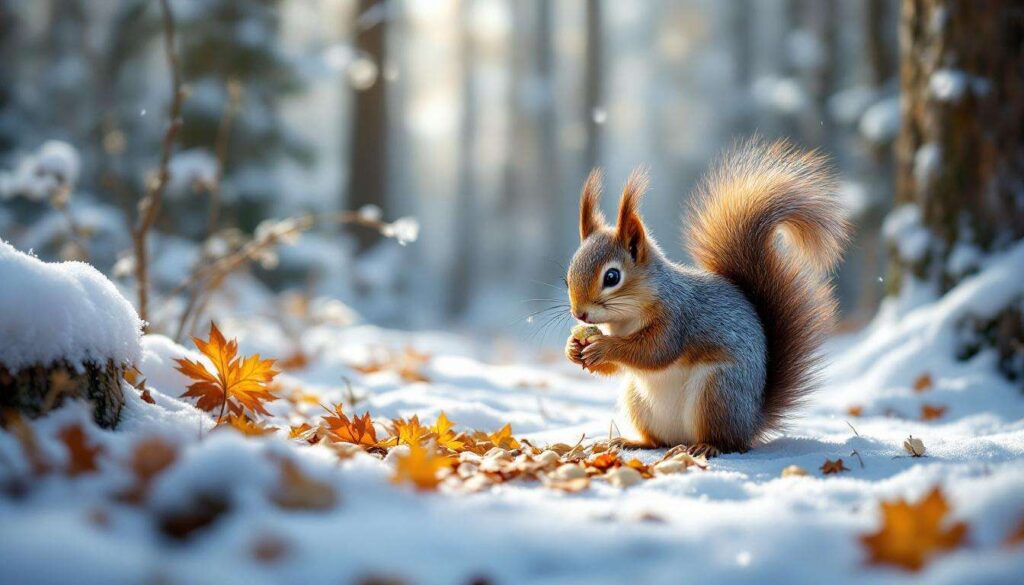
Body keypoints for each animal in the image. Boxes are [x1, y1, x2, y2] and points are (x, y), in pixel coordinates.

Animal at [564, 139, 849, 457]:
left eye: (612, 277)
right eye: (567, 276)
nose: (579, 314)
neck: (626, 319)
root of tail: (751, 422)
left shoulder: (678, 316)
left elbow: (654, 351)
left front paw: (604, 347)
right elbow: (618, 366)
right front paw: (573, 348)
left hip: (717, 392)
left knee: (728, 443)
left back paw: (706, 446)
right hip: (637, 398)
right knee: (658, 441)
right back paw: (634, 441)